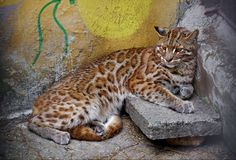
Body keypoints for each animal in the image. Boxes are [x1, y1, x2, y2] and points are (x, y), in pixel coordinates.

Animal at [28, 26, 199, 144]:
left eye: (178, 50)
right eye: (163, 48)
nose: (168, 59)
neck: (182, 66)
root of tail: (38, 99)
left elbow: (189, 86)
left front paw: (183, 91)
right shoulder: (138, 82)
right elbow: (163, 93)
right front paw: (181, 103)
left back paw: (97, 126)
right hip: (85, 102)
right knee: (32, 121)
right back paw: (59, 135)